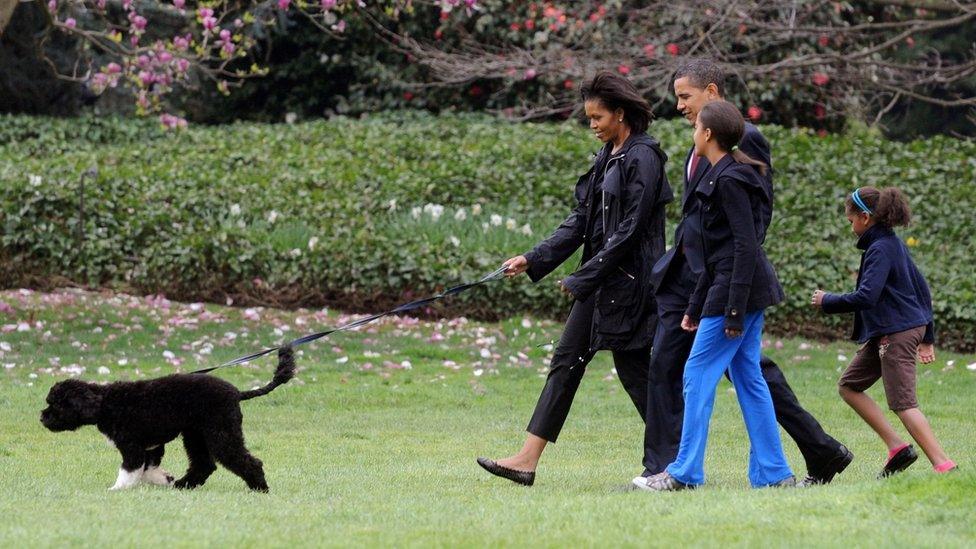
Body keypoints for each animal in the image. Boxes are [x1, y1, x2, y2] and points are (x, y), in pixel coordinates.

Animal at [39, 344, 298, 490]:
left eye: (55, 404)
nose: (42, 418)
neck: (105, 403)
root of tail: (237, 392)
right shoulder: (152, 447)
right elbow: (148, 469)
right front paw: (164, 479)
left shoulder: (132, 446)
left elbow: (129, 470)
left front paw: (117, 489)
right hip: (196, 435)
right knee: (204, 464)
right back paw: (183, 485)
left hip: (221, 432)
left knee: (247, 461)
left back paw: (260, 488)